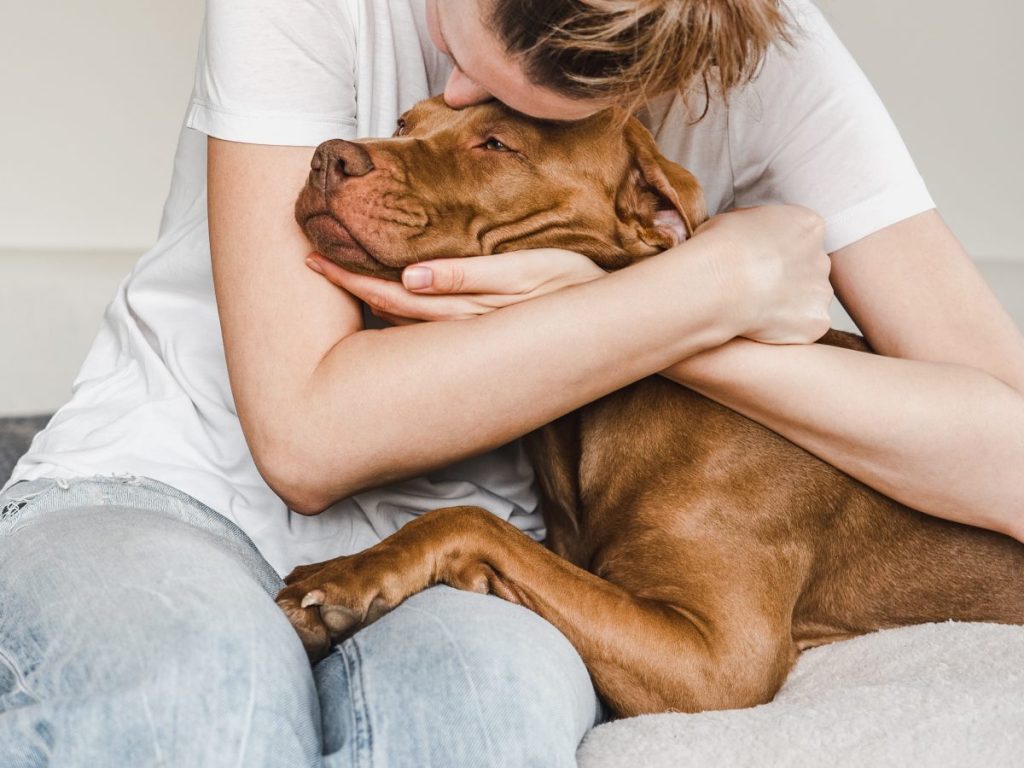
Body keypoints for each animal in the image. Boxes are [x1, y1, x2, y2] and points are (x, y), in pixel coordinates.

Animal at [280, 94, 1024, 716]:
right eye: (406, 122)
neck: (589, 420)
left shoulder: (717, 659)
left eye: (495, 144)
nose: (327, 155)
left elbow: (470, 519)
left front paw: (347, 575)